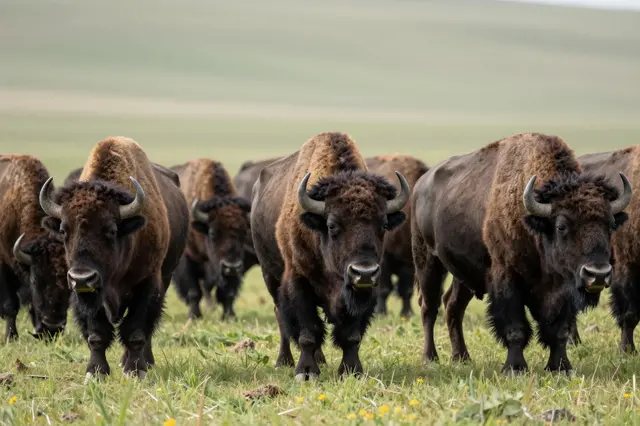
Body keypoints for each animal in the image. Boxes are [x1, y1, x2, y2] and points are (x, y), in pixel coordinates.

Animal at [39, 137, 189, 379]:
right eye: (63, 230)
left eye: (110, 230)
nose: (82, 277)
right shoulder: (87, 296)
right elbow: (96, 335)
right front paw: (96, 372)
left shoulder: (147, 285)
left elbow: (136, 331)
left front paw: (135, 371)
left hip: (165, 277)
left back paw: (144, 362)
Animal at [171, 159, 251, 320]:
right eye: (213, 233)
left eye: (244, 232)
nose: (231, 267)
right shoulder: (187, 260)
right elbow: (193, 291)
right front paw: (194, 316)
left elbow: (228, 292)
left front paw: (229, 316)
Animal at [251, 132, 409, 379]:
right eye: (332, 225)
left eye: (384, 224)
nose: (364, 272)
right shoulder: (298, 281)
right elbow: (307, 332)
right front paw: (306, 373)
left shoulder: (363, 293)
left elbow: (351, 335)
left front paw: (351, 371)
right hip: (270, 275)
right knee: (281, 317)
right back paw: (284, 361)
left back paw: (321, 360)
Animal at [412, 133, 631, 373]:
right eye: (561, 226)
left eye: (610, 224)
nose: (598, 274)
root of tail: (421, 184)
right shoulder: (507, 279)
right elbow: (515, 328)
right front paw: (514, 368)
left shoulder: (562, 289)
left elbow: (560, 330)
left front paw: (560, 367)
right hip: (427, 261)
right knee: (429, 307)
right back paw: (430, 358)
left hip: (464, 274)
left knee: (453, 305)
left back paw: (462, 357)